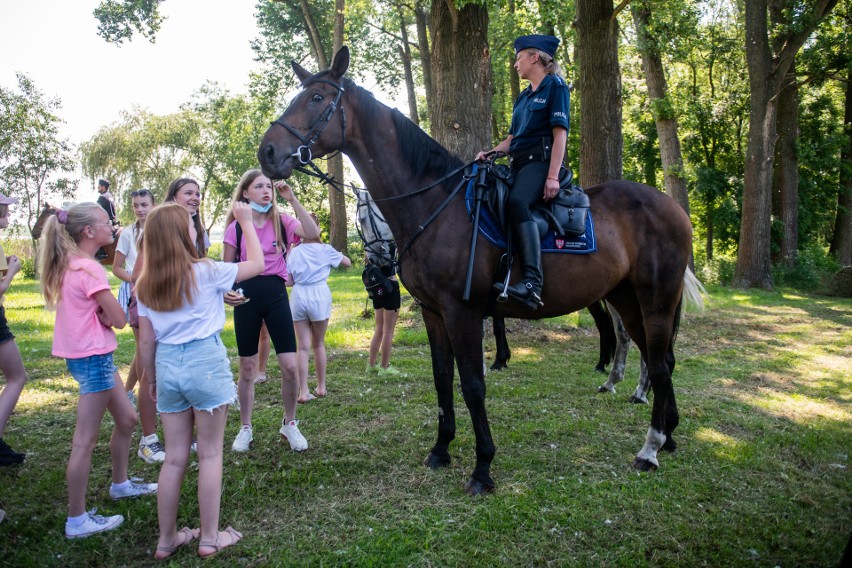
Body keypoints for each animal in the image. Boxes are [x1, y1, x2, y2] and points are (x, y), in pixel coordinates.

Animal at [262, 47, 704, 492]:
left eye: (317, 97)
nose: (267, 152)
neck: (435, 204)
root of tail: (672, 207)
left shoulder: (464, 312)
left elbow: (473, 385)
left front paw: (482, 467)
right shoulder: (434, 312)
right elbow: (443, 379)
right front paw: (441, 450)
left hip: (655, 301)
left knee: (659, 362)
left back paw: (650, 447)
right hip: (627, 299)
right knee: (661, 360)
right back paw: (668, 435)